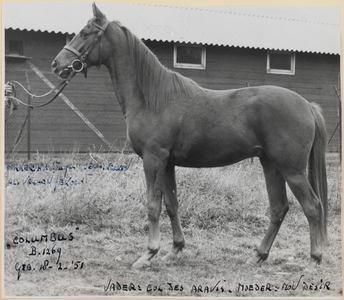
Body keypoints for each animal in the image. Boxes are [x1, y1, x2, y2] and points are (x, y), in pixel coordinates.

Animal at [51, 2, 328, 274]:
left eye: (85, 33)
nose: (56, 64)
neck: (153, 97)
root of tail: (307, 105)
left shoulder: (153, 160)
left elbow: (153, 206)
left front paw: (147, 254)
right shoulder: (168, 164)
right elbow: (172, 205)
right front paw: (174, 250)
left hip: (291, 169)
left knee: (313, 207)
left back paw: (313, 261)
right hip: (270, 164)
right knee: (279, 208)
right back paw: (257, 256)